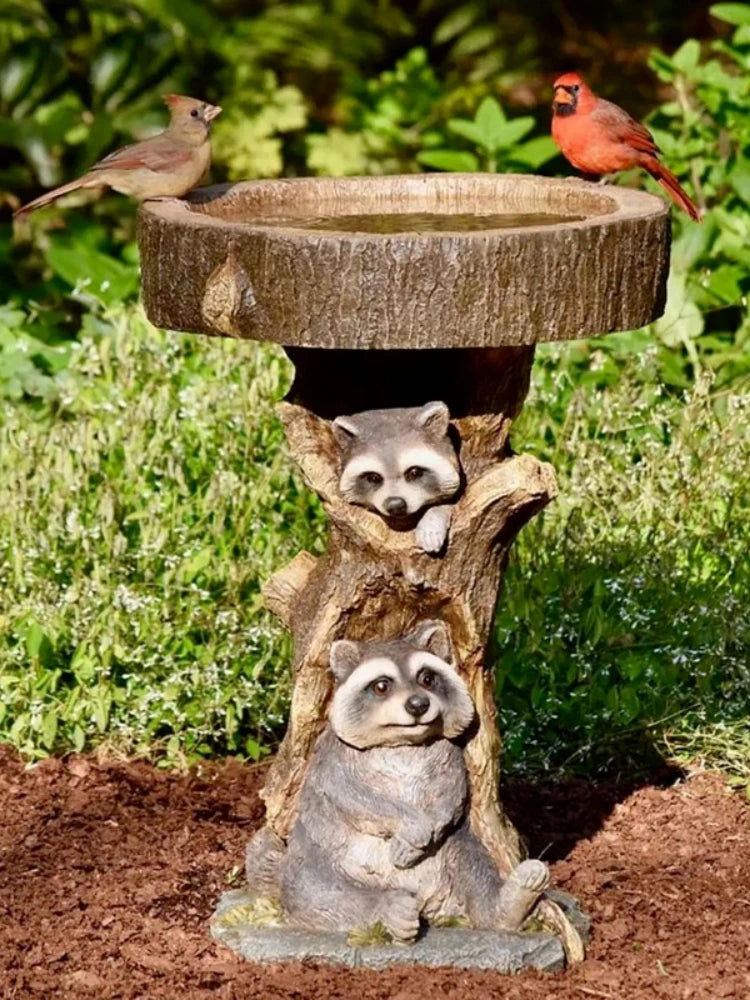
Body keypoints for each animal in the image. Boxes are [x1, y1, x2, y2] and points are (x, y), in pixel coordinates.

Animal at [275, 622, 549, 942]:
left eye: (427, 678)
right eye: (381, 686)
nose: (418, 704)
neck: (403, 742)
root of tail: (429, 904)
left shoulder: (448, 752)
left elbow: (452, 793)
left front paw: (425, 828)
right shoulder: (333, 755)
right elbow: (353, 796)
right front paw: (411, 827)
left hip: (457, 849)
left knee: (473, 866)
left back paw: (509, 902)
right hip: (311, 858)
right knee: (318, 892)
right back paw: (389, 909)